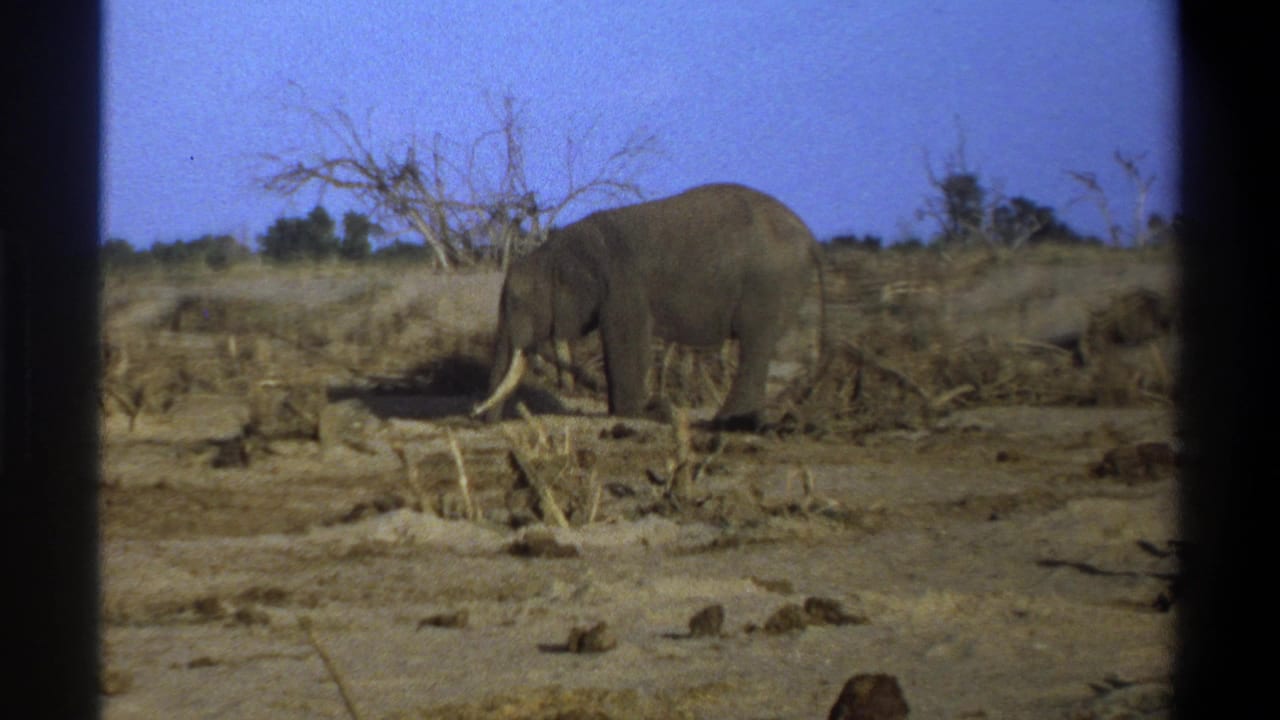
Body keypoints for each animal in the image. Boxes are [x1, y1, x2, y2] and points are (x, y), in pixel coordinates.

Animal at [474, 183, 823, 430]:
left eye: (517, 303)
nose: (480, 420)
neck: (555, 249)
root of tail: (811, 238)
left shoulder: (623, 287)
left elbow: (628, 342)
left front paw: (633, 412)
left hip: (768, 283)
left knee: (755, 343)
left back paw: (727, 422)